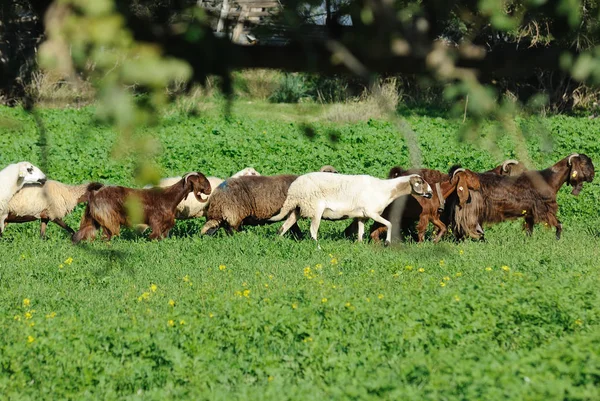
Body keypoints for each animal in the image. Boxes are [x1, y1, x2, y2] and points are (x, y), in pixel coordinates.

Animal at [73, 171, 211, 242]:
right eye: (202, 180)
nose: (209, 190)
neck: (170, 197)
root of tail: (95, 193)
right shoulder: (157, 221)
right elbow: (154, 235)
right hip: (108, 217)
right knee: (107, 234)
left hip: (93, 218)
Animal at [270, 171, 432, 244]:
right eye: (420, 182)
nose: (430, 193)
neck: (385, 190)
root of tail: (294, 189)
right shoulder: (371, 212)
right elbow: (389, 224)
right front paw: (387, 242)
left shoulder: (362, 216)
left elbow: (361, 232)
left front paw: (359, 245)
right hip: (315, 208)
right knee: (313, 231)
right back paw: (318, 247)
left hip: (298, 209)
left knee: (283, 227)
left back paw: (277, 242)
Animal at [452, 154, 592, 239]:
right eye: (584, 163)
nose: (592, 177)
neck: (549, 179)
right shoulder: (545, 210)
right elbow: (559, 224)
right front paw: (557, 241)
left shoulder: (530, 214)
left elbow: (529, 231)